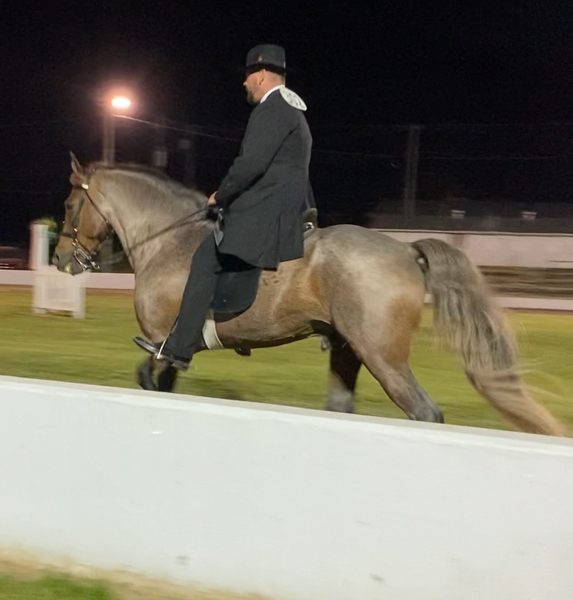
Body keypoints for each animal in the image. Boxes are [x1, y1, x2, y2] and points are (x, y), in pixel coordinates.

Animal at [52, 155, 564, 436]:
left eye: (69, 204)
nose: (60, 259)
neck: (168, 239)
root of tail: (405, 248)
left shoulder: (164, 344)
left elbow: (149, 381)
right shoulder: (175, 353)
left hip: (384, 358)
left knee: (425, 413)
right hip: (347, 351)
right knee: (343, 409)